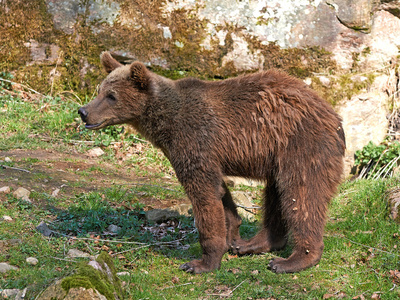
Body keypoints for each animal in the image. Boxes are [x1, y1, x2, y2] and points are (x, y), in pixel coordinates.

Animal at [79, 52, 346, 274]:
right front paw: (232, 236)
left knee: (301, 195)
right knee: (276, 194)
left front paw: (201, 263)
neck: (165, 124)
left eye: (111, 96)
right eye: (100, 90)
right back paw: (255, 244)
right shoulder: (205, 153)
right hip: (277, 156)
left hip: (300, 145)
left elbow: (204, 196)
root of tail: (333, 115)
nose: (83, 111)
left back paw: (292, 260)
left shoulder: (194, 141)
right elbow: (220, 194)